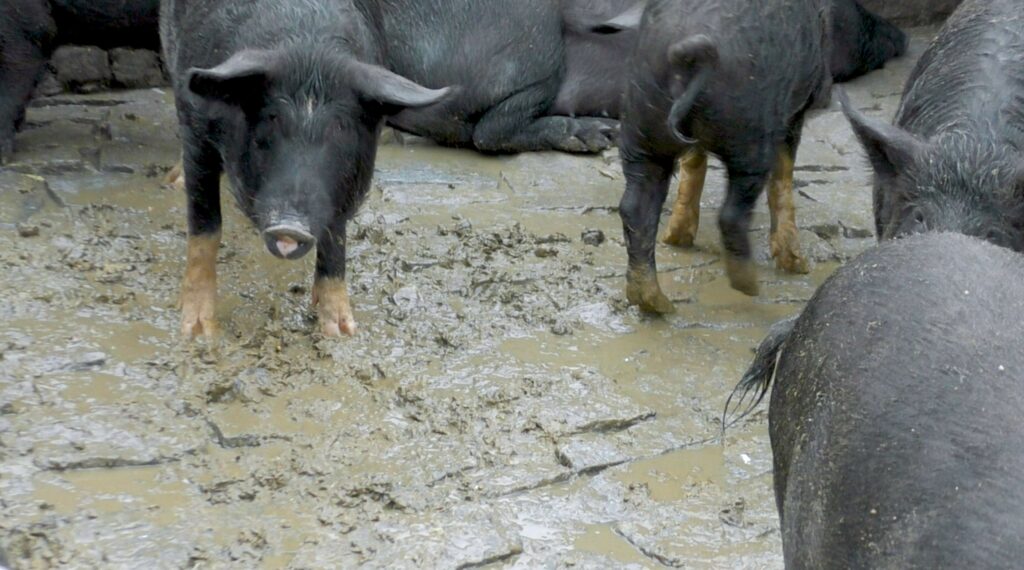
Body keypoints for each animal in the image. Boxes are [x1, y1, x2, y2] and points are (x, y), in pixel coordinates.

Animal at [617, 0, 831, 312]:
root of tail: (691, 55)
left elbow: (693, 163)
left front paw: (677, 239)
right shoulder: (791, 115)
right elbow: (783, 173)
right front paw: (797, 266)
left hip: (641, 128)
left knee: (635, 206)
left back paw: (657, 303)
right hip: (751, 134)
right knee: (732, 212)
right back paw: (750, 285)